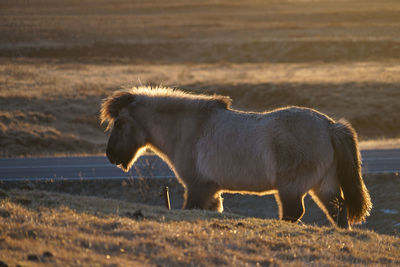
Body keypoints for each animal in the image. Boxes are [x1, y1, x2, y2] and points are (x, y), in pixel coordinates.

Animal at [100, 87, 372, 229]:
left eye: (120, 123)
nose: (111, 155)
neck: (191, 128)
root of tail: (330, 126)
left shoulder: (198, 187)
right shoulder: (211, 190)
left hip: (291, 189)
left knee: (294, 213)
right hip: (324, 186)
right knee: (338, 212)